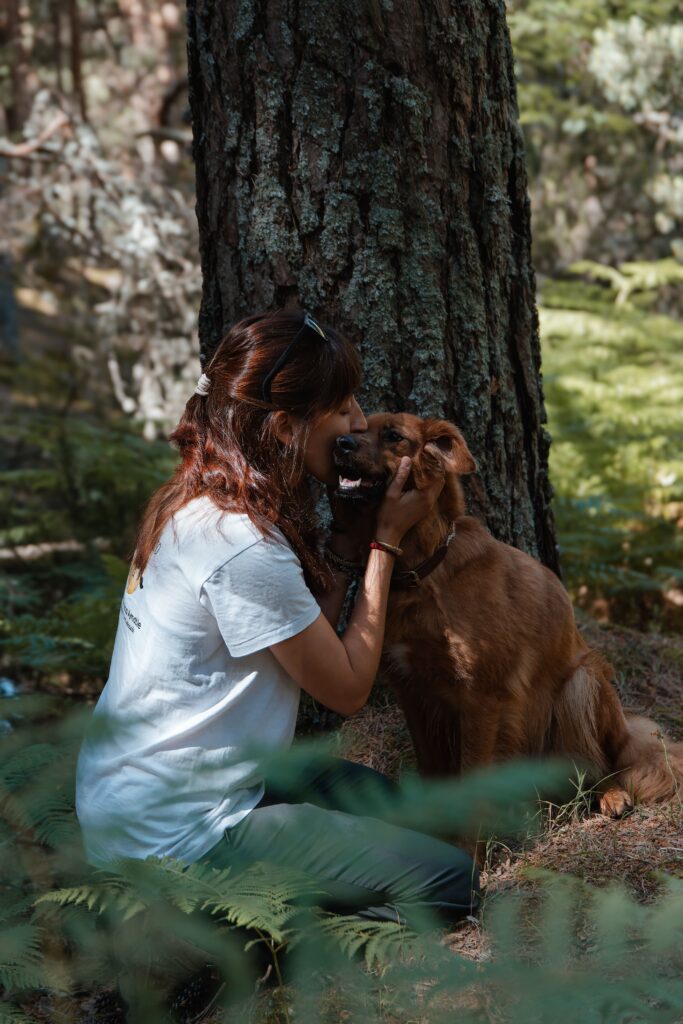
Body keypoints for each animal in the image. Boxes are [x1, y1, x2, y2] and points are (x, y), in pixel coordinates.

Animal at [333, 411, 683, 811]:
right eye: (358, 429)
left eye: (393, 436)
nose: (340, 443)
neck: (424, 569)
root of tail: (626, 729)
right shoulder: (413, 692)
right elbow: (432, 769)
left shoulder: (482, 699)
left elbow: (472, 786)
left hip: (583, 683)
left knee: (604, 763)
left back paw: (610, 794)